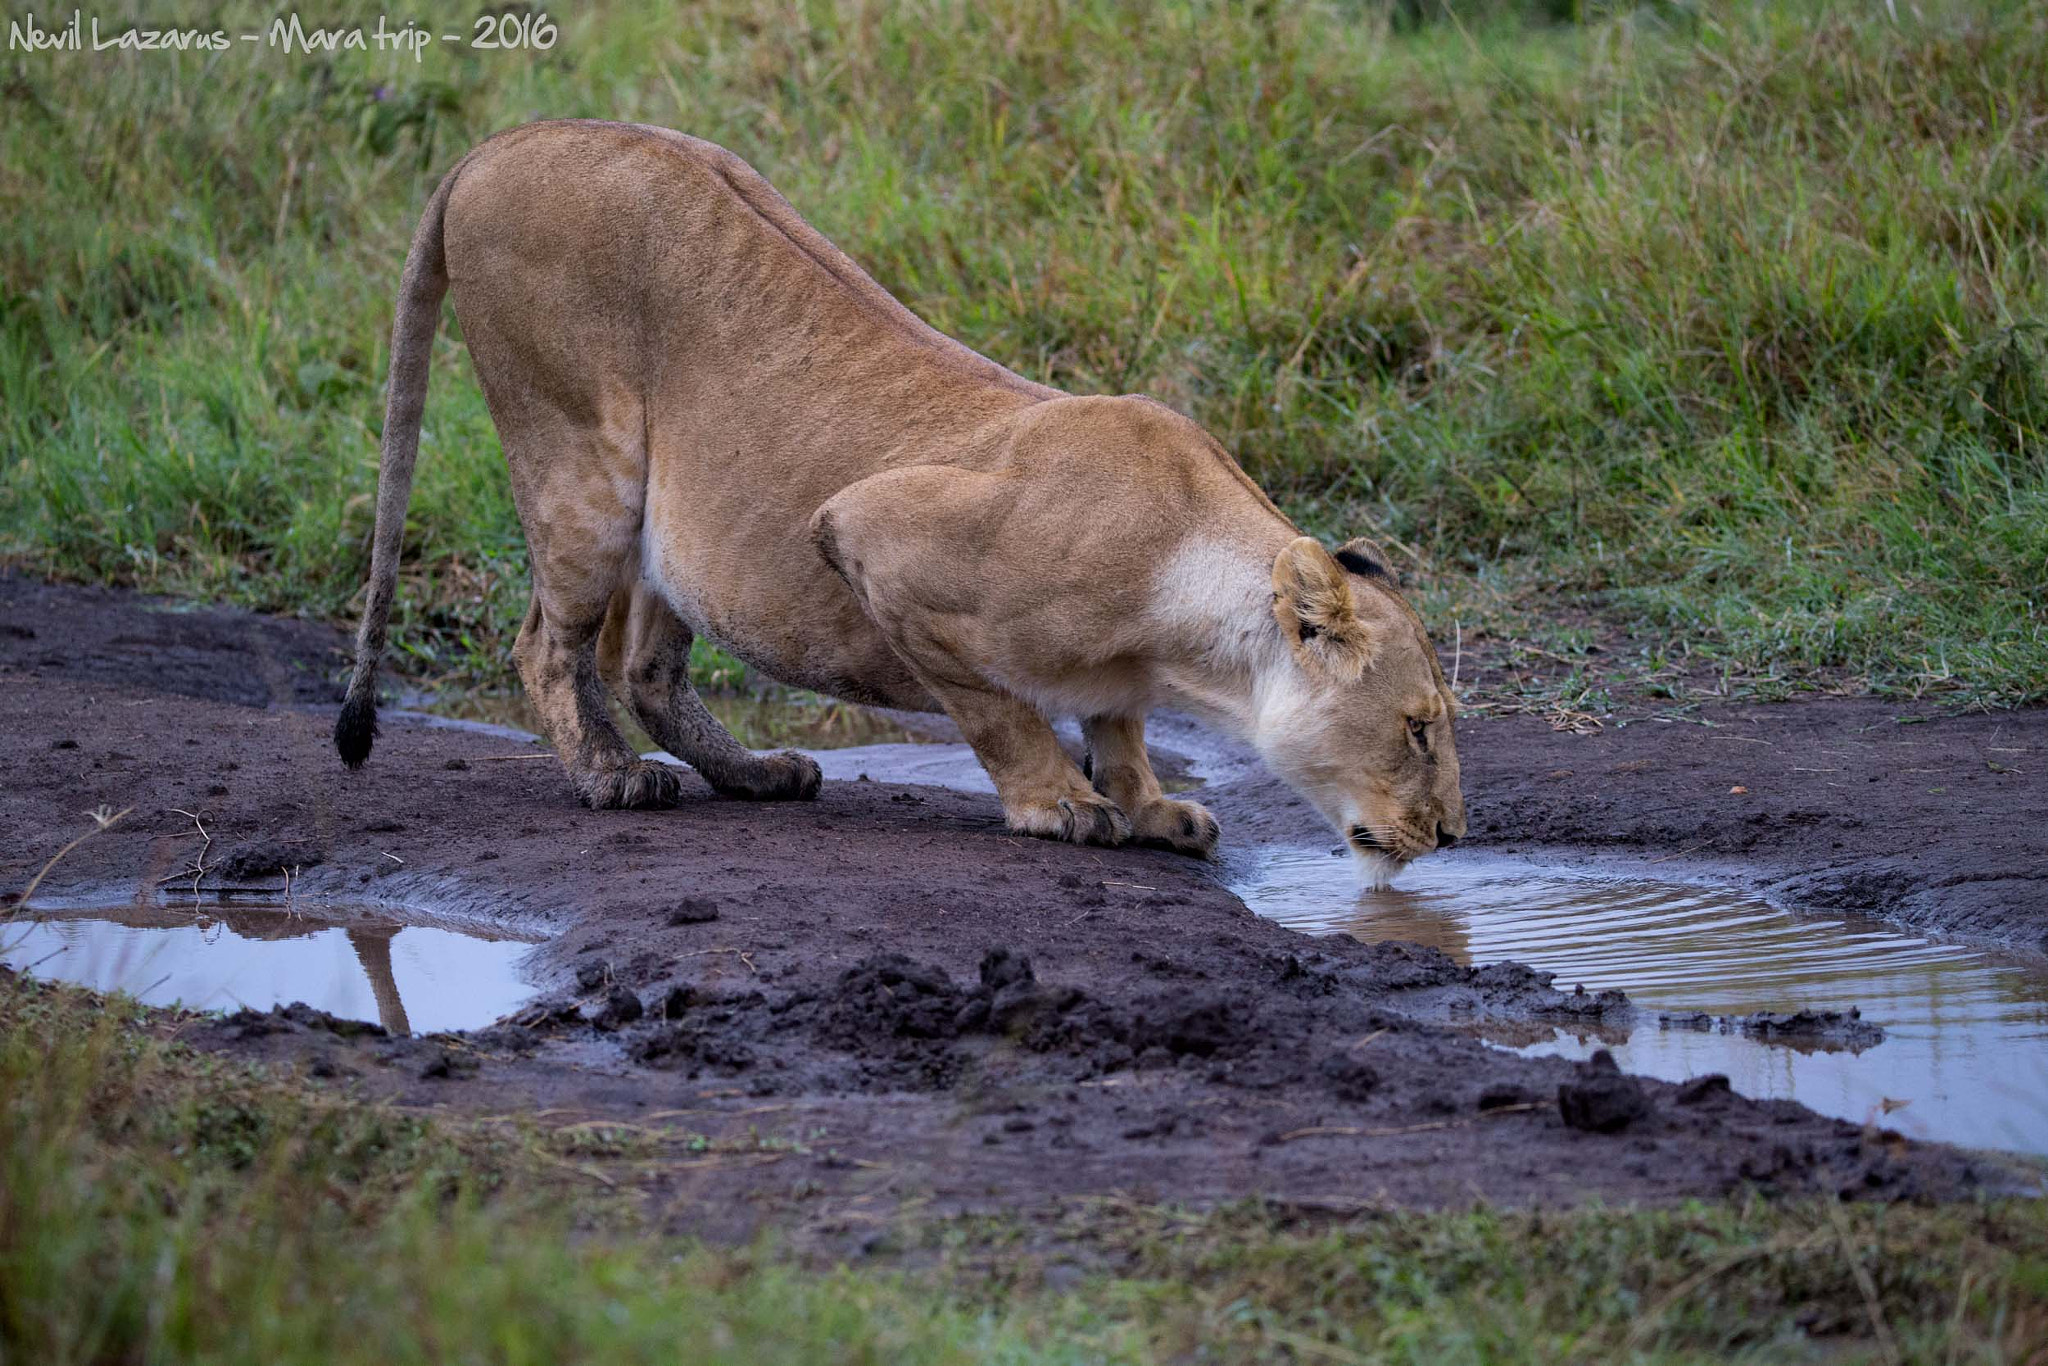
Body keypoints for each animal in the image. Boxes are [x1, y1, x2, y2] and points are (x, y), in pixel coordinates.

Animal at [335, 120, 1466, 872]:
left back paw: (755, 773)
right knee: (547, 645)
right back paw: (612, 778)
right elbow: (998, 710)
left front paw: (1150, 807)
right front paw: (1057, 804)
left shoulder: (1114, 677)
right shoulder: (873, 532)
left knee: (642, 662)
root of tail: (505, 138)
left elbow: (1118, 727)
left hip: (669, 508)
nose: (1452, 832)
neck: (1188, 633)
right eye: (1417, 728)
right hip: (581, 459)